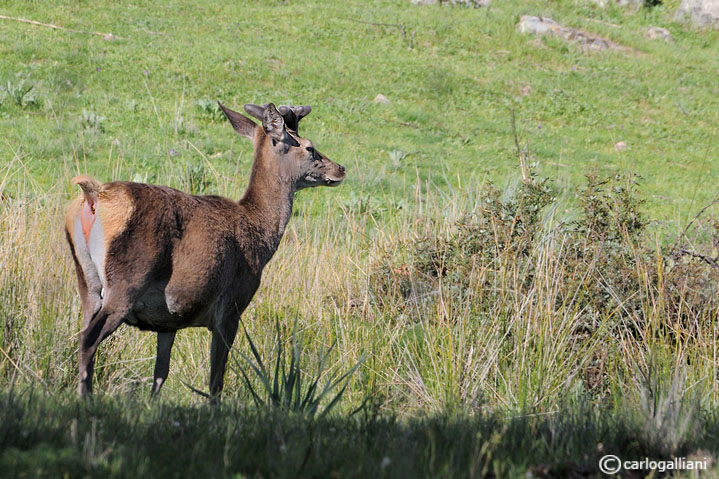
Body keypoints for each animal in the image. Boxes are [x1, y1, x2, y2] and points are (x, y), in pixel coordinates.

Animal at [64, 101, 346, 398]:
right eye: (309, 147)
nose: (340, 169)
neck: (260, 238)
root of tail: (92, 197)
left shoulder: (169, 319)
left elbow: (160, 373)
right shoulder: (231, 306)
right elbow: (216, 379)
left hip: (87, 283)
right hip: (127, 280)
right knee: (88, 339)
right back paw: (86, 398)